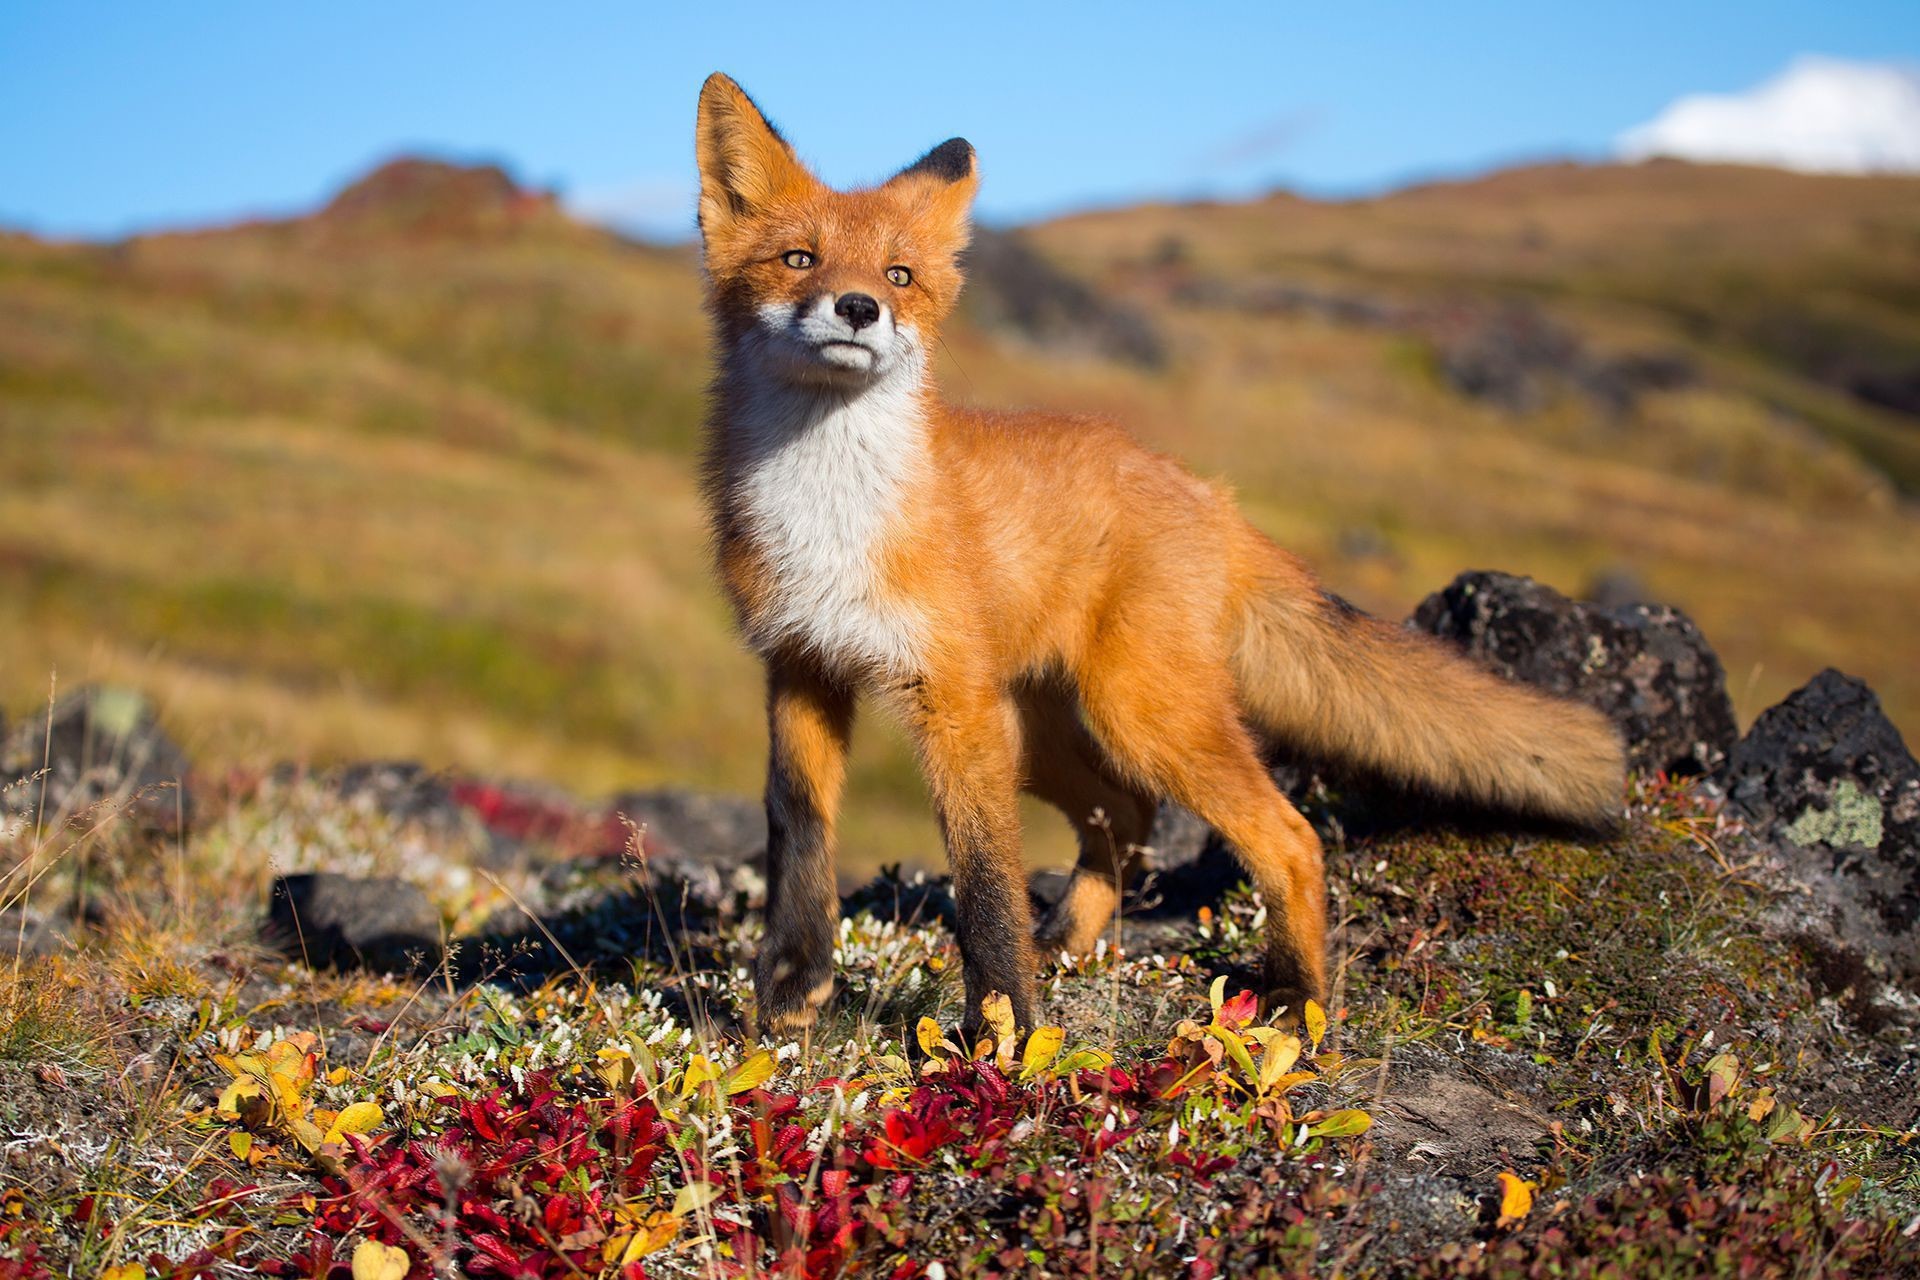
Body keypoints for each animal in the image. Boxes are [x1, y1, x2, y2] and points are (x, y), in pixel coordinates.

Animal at [692, 72, 1626, 1044]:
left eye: (898, 276)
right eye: (800, 260)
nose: (858, 308)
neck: (832, 520)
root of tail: (1213, 497)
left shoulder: (950, 702)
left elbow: (984, 881)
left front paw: (1005, 1035)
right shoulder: (801, 665)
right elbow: (799, 830)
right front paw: (790, 989)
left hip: (1130, 715)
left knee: (1290, 838)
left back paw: (1295, 1006)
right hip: (1048, 733)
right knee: (1131, 817)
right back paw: (1069, 944)